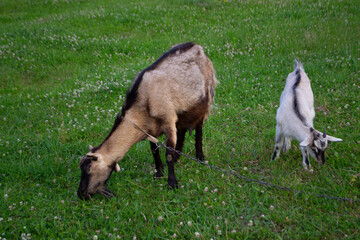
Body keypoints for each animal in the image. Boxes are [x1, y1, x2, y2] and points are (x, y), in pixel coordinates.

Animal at [77, 42, 218, 199]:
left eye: (89, 168)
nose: (81, 193)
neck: (142, 104)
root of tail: (198, 47)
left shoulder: (168, 120)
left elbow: (168, 154)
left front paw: (172, 183)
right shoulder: (152, 128)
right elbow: (154, 150)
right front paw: (159, 173)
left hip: (205, 99)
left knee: (199, 128)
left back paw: (199, 156)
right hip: (183, 109)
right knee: (182, 130)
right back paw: (179, 156)